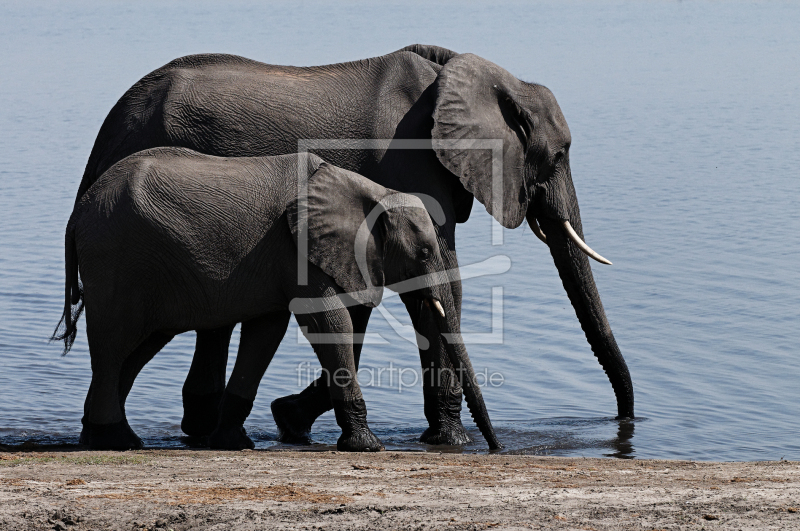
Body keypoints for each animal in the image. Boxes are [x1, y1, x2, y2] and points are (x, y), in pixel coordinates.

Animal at [53, 148, 496, 450]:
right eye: (423, 253)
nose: (492, 448)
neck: (369, 191)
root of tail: (76, 213)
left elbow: (267, 331)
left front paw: (234, 443)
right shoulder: (297, 251)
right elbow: (329, 322)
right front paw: (368, 446)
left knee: (137, 349)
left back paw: (105, 436)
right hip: (116, 261)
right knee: (114, 345)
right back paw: (116, 441)